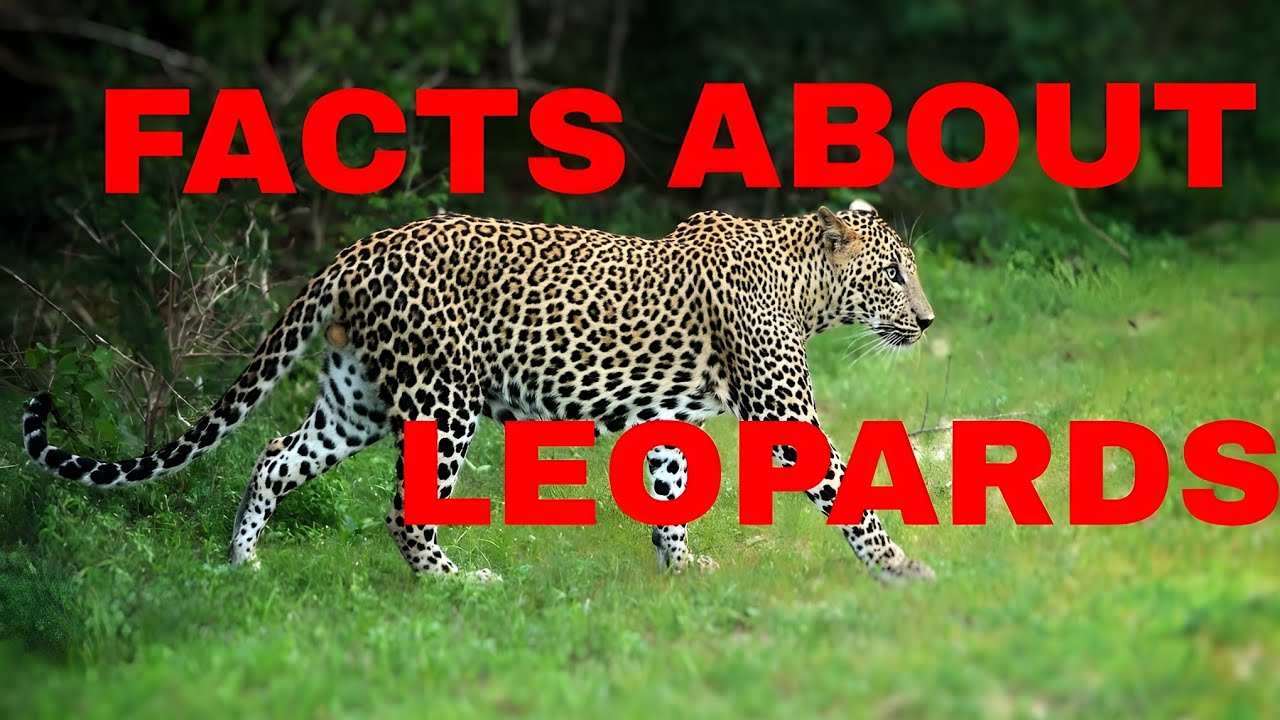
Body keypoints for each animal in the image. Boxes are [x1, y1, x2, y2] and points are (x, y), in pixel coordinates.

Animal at [21, 198, 936, 583]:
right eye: (895, 273)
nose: (928, 322)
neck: (806, 285)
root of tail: (356, 251)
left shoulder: (670, 418)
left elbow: (671, 495)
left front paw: (681, 571)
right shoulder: (784, 410)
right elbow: (848, 490)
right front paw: (902, 568)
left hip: (355, 400)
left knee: (275, 455)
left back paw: (242, 563)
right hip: (440, 398)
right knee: (404, 511)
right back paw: (458, 582)